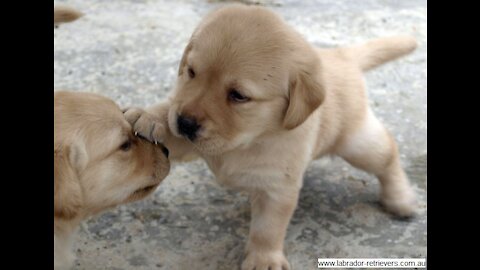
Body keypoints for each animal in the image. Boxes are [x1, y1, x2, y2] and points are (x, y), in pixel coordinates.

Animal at [125, 4, 418, 270]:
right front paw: (151, 117)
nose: (184, 122)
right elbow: (170, 123)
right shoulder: (192, 140)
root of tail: (340, 55)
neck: (250, 139)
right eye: (191, 72)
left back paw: (400, 199)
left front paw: (263, 260)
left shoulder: (276, 189)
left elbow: (267, 229)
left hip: (358, 144)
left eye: (239, 96)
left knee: (389, 154)